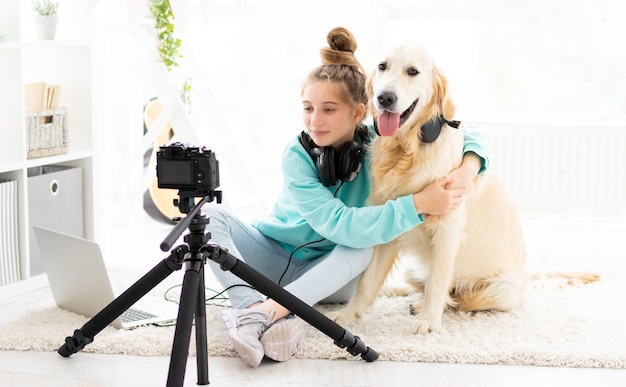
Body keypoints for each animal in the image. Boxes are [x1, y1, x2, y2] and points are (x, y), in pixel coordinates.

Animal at [330, 41, 528, 334]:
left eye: (413, 71)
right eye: (382, 66)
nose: (385, 98)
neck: (408, 148)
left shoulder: (448, 229)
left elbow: (437, 283)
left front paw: (428, 321)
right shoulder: (386, 224)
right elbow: (366, 282)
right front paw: (348, 315)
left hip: (502, 288)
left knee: (460, 297)